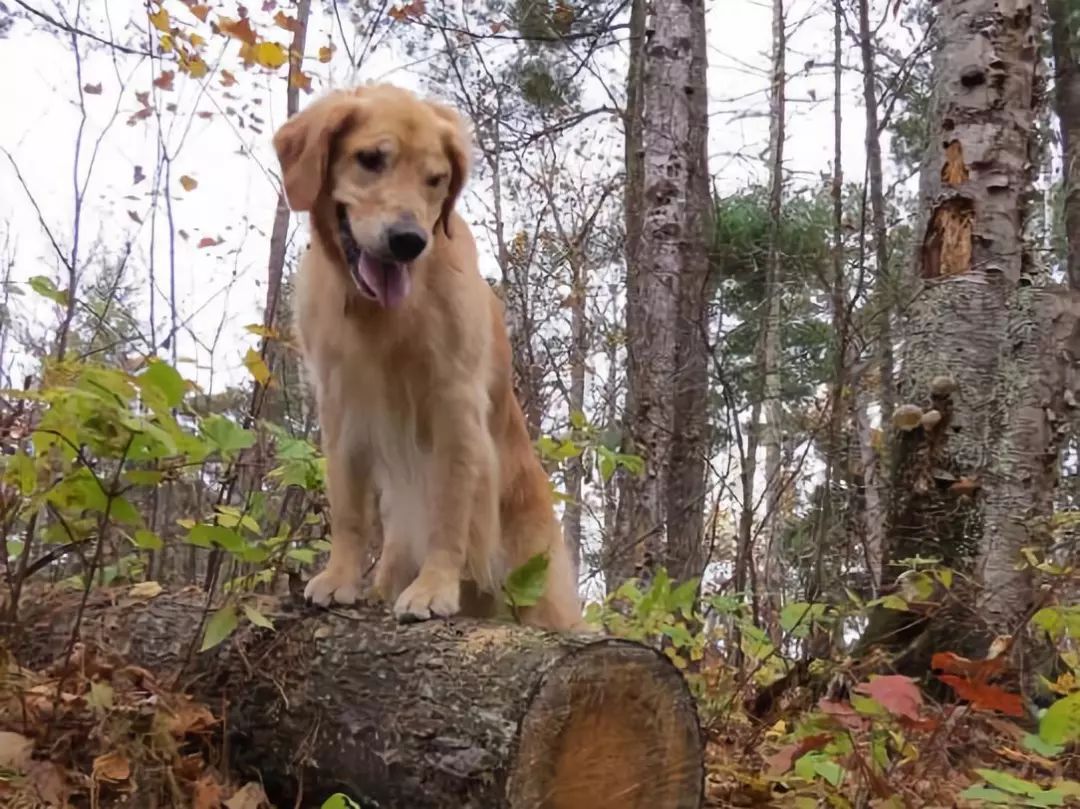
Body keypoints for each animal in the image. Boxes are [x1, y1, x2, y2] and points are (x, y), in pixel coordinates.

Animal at [272, 85, 583, 626]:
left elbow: (448, 511)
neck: (380, 316)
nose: (408, 241)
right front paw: (339, 577)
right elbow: (349, 510)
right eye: (370, 159)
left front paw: (435, 587)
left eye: (435, 180)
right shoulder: (341, 405)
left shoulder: (453, 405)